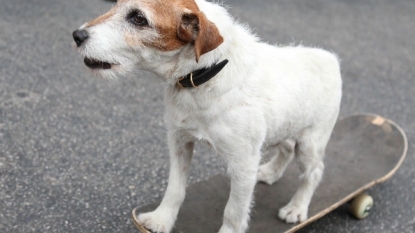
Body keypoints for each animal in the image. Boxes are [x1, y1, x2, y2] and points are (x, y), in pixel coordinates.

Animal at [73, 0, 342, 232]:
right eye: (116, 5)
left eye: (138, 18)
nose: (77, 35)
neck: (206, 74)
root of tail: (330, 58)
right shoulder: (179, 143)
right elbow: (175, 189)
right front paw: (161, 219)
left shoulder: (243, 164)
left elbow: (234, 212)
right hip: (284, 127)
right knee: (286, 148)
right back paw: (270, 173)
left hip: (310, 144)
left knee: (314, 172)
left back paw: (297, 208)